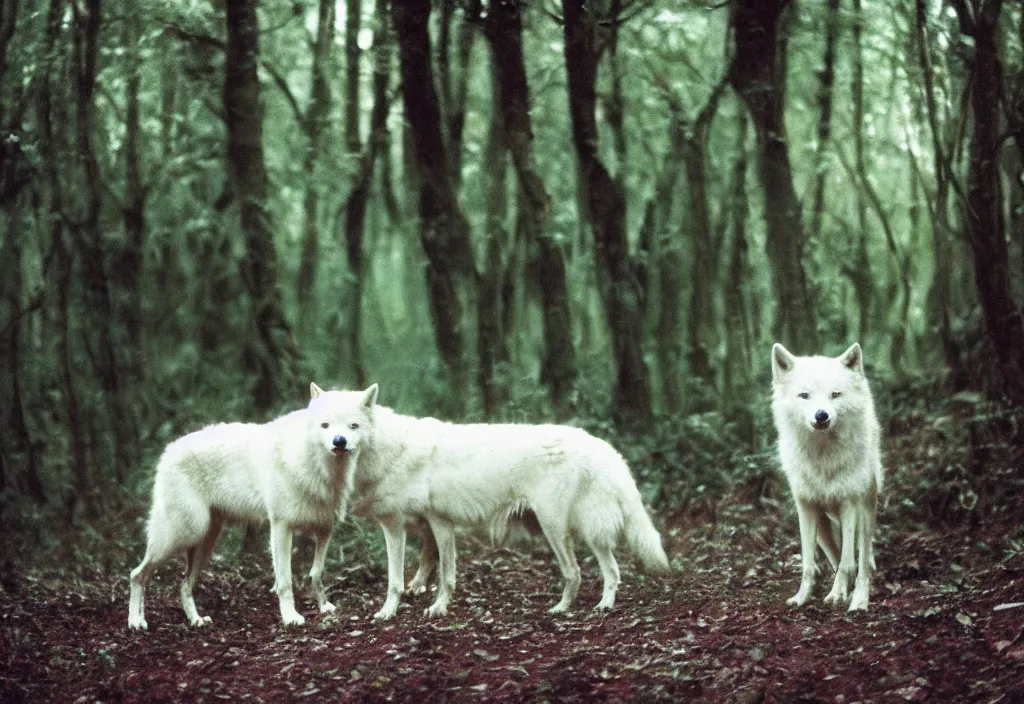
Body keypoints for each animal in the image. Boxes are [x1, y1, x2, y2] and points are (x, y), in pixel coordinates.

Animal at [123, 382, 372, 630]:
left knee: (183, 585)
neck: (317, 465)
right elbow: (285, 582)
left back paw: (195, 620)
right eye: (325, 425)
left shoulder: (325, 530)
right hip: (183, 535)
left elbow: (316, 573)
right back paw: (136, 621)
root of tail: (168, 451)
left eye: (353, 426)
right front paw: (290, 617)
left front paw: (324, 606)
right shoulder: (281, 527)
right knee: (137, 575)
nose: (339, 441)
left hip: (204, 542)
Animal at [333, 384, 671, 622]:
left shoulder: (428, 523)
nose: (339, 442)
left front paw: (431, 608)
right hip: (587, 532)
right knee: (612, 571)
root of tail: (602, 447)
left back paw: (563, 609)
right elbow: (427, 566)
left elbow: (437, 576)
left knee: (576, 573)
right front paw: (416, 592)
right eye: (327, 426)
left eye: (353, 426)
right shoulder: (429, 525)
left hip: (557, 528)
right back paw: (603, 605)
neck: (395, 451)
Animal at [770, 341, 884, 609]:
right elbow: (810, 564)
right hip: (822, 524)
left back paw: (860, 596)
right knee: (836, 552)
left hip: (865, 505)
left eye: (835, 394)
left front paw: (839, 593)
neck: (822, 457)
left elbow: (848, 561)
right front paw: (803, 597)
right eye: (804, 395)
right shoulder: (806, 507)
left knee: (862, 552)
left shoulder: (848, 503)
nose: (821, 415)